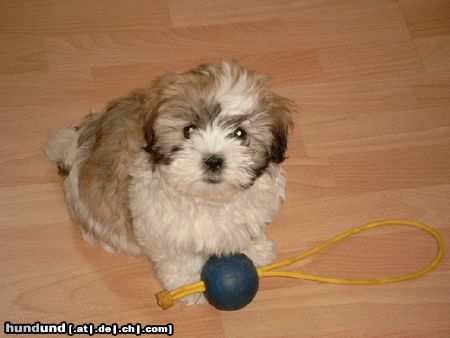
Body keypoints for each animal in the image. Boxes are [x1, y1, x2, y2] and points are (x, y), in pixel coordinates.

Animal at [44, 61, 294, 306]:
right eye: (188, 130)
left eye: (240, 134)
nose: (213, 160)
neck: (209, 199)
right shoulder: (161, 227)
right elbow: (179, 258)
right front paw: (189, 284)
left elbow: (248, 230)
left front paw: (257, 251)